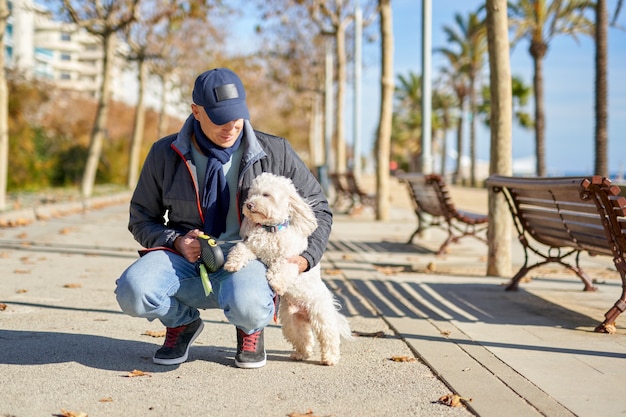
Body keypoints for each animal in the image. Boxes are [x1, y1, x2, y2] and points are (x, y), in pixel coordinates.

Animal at [223, 172, 352, 364]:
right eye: (252, 194)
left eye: (266, 195)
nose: (249, 205)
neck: (270, 229)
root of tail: (305, 313)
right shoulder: (253, 247)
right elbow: (241, 249)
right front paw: (232, 262)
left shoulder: (292, 259)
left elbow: (284, 267)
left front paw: (276, 281)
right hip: (291, 322)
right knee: (304, 338)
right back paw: (301, 354)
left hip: (321, 316)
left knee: (329, 336)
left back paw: (330, 358)